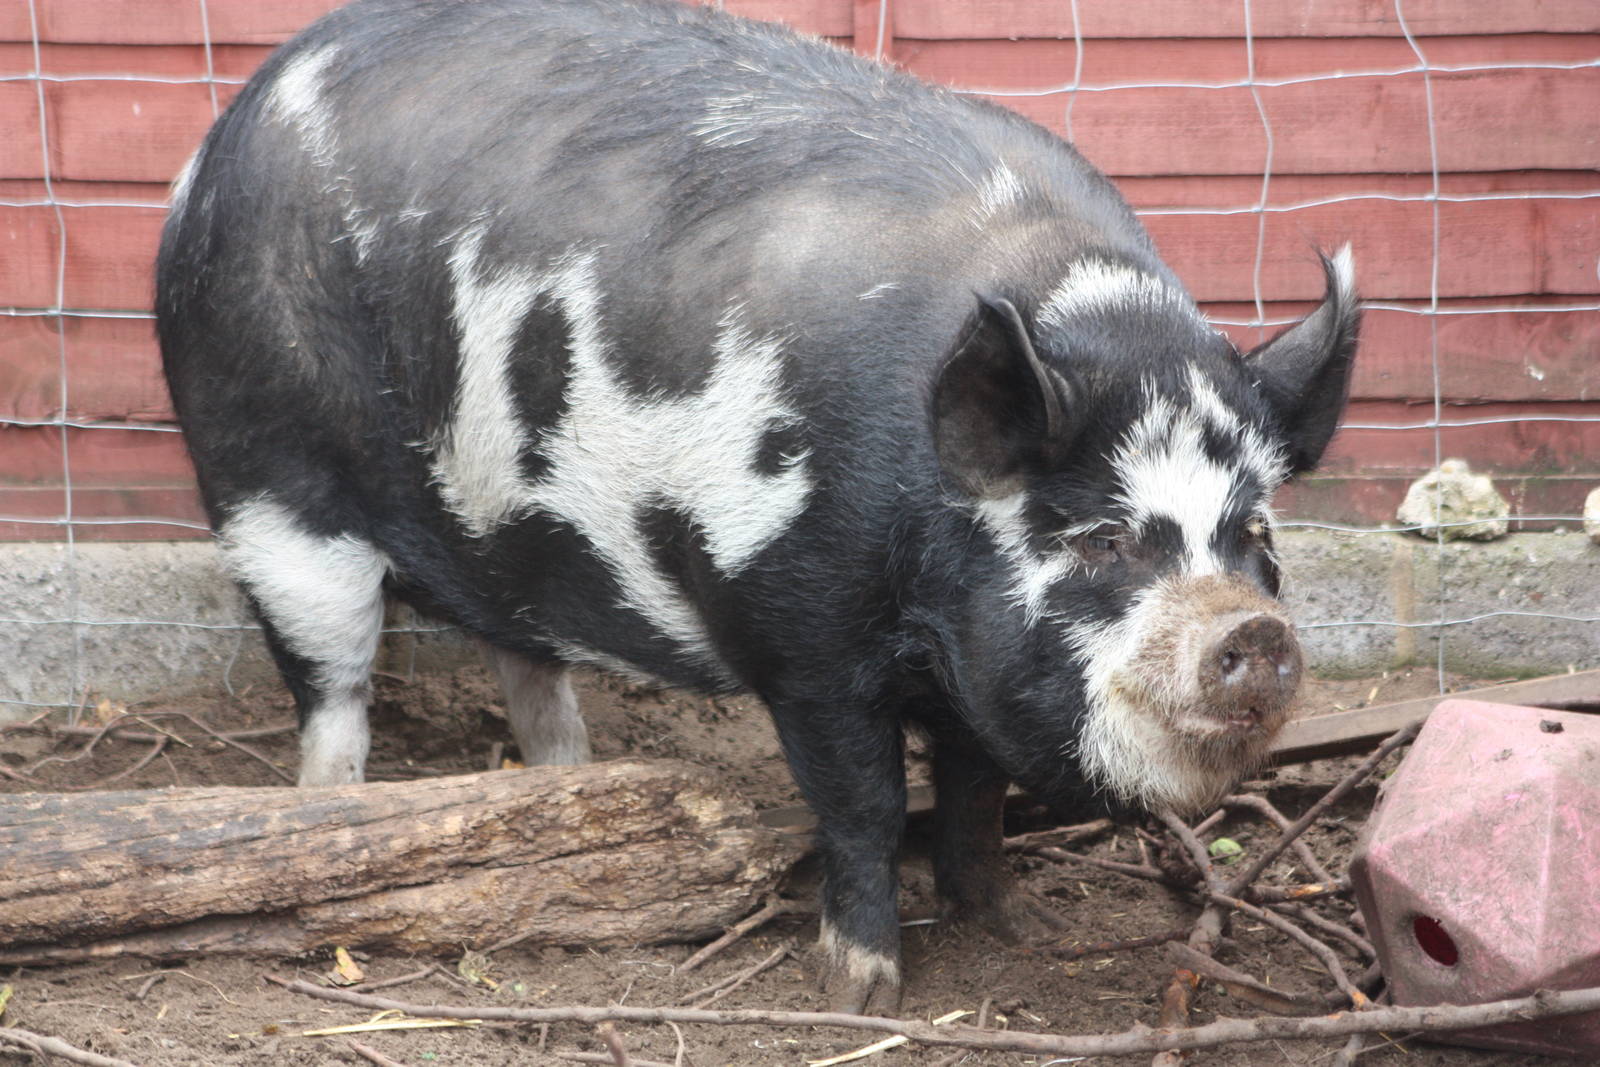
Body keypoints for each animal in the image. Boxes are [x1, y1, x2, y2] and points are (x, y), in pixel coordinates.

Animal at [156, 0, 1358, 1013]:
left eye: (1254, 533)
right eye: (1104, 538)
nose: (1252, 630)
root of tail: (222, 137)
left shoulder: (966, 665)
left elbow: (974, 794)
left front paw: (1012, 926)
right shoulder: (800, 633)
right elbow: (866, 802)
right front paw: (858, 990)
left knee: (527, 667)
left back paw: (569, 789)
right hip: (267, 487)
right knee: (332, 687)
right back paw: (334, 809)